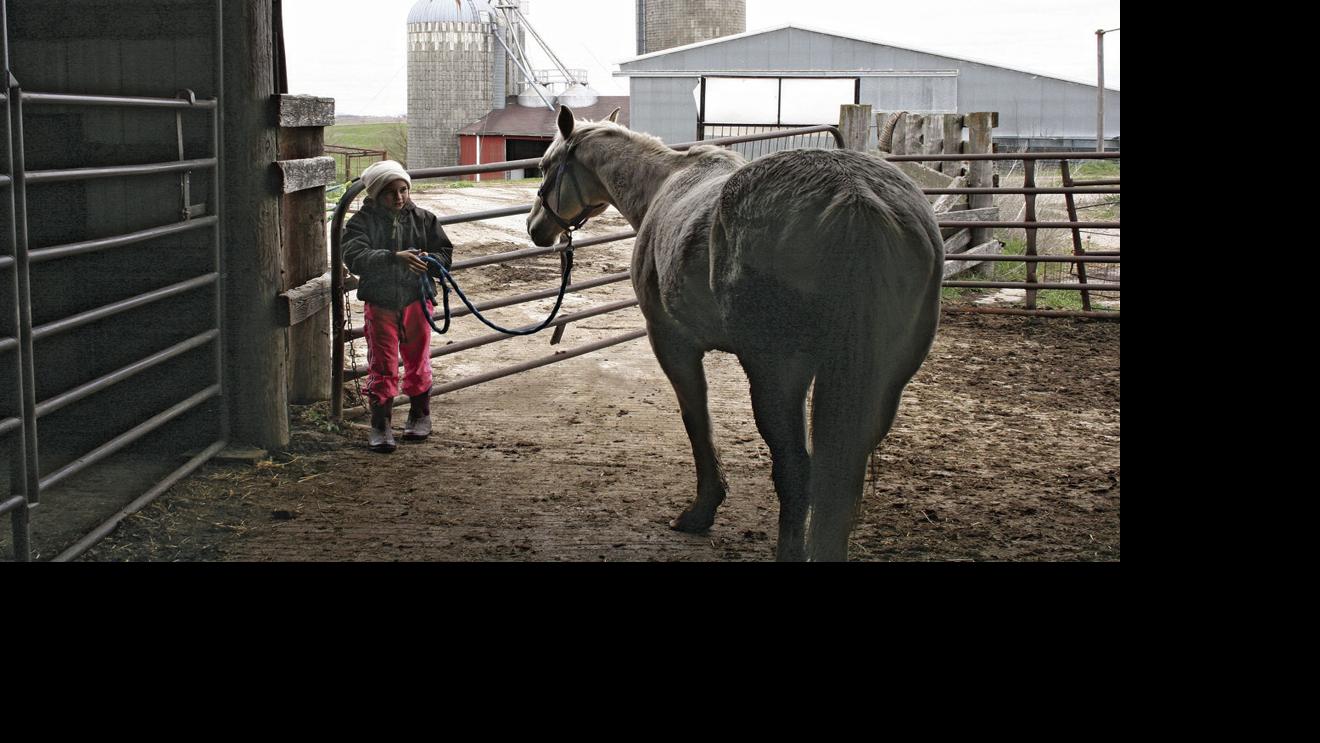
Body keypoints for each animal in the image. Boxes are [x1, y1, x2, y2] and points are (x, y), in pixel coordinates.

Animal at [527, 106, 944, 561]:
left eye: (545, 166)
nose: (535, 228)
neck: (663, 186)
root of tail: (855, 198)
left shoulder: (672, 343)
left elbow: (696, 420)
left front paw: (701, 510)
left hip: (776, 374)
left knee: (796, 470)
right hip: (885, 380)